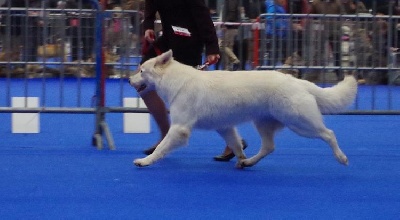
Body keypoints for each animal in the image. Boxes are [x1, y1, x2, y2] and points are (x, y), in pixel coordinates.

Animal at [129, 50, 356, 168]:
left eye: (141, 71)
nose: (129, 80)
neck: (175, 81)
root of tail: (298, 81)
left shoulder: (179, 128)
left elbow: (161, 147)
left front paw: (145, 161)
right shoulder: (224, 127)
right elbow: (236, 145)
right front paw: (240, 158)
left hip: (299, 122)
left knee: (328, 134)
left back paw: (341, 158)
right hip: (264, 124)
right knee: (268, 147)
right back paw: (249, 163)